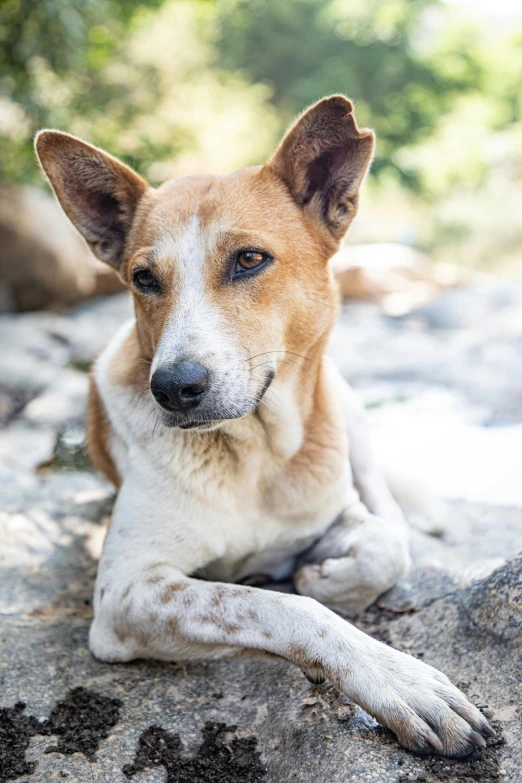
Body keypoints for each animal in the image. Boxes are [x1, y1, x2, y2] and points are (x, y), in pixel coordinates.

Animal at [35, 93, 492, 760]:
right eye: (144, 279)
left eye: (249, 260)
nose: (173, 387)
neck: (251, 454)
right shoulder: (125, 594)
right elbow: (286, 609)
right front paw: (397, 680)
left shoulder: (329, 510)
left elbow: (382, 551)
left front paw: (330, 578)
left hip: (349, 412)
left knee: (392, 519)